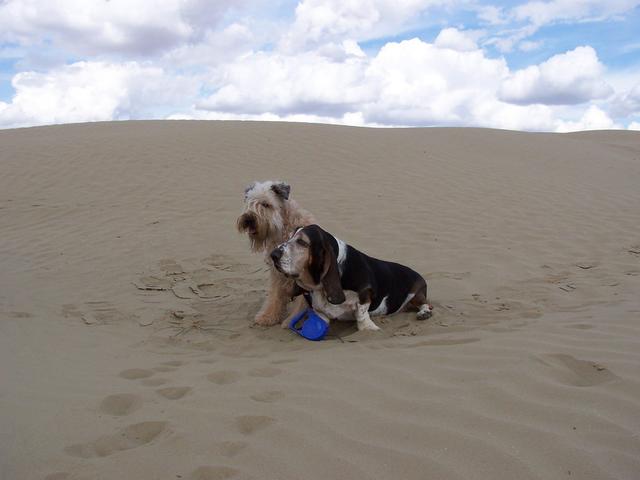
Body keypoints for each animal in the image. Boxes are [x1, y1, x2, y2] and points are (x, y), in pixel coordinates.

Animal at [235, 180, 316, 326]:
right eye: (250, 202)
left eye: (266, 204)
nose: (248, 219)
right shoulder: (276, 273)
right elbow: (274, 296)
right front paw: (268, 316)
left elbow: (301, 302)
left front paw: (293, 320)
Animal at [268, 224, 432, 330]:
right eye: (289, 238)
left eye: (302, 242)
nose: (273, 254)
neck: (320, 288)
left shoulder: (366, 292)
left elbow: (361, 314)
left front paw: (368, 328)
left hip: (417, 293)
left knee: (427, 304)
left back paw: (424, 313)